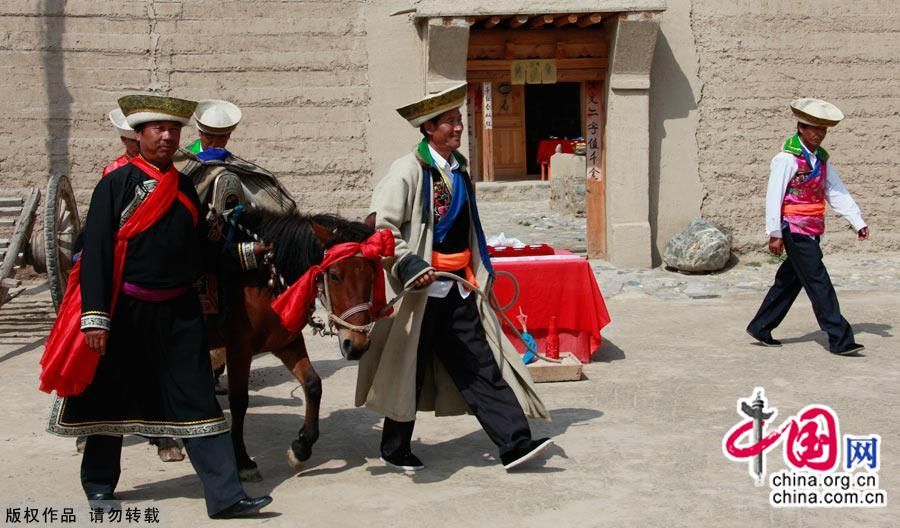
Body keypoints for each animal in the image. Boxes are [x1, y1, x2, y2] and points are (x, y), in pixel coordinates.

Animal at [207, 209, 376, 478]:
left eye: (373, 274)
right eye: (334, 275)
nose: (356, 345)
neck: (259, 280)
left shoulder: (286, 341)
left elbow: (313, 385)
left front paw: (301, 448)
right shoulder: (238, 349)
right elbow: (239, 401)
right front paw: (243, 460)